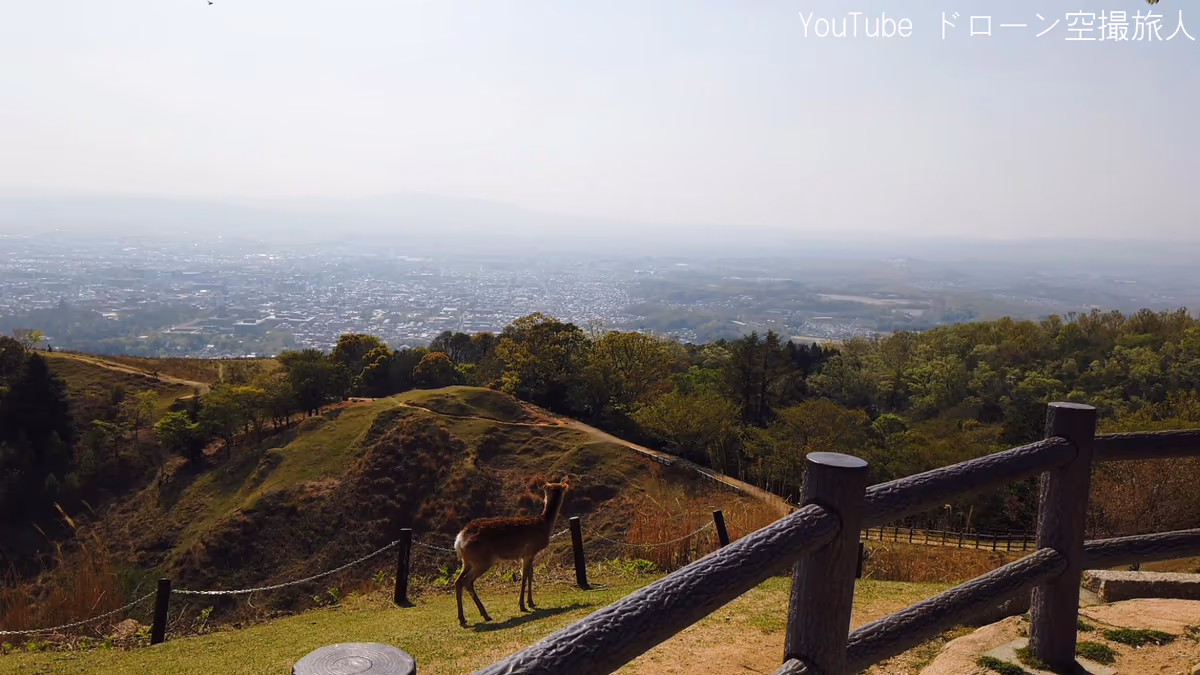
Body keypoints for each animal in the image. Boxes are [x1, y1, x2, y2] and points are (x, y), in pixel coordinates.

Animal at [453, 474, 573, 627]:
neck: (545, 525)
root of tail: (459, 540)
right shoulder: (528, 551)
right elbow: (524, 576)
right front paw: (522, 605)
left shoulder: (528, 554)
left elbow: (530, 575)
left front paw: (531, 602)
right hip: (482, 560)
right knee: (467, 581)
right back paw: (485, 615)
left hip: (467, 561)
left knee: (458, 581)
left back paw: (464, 618)